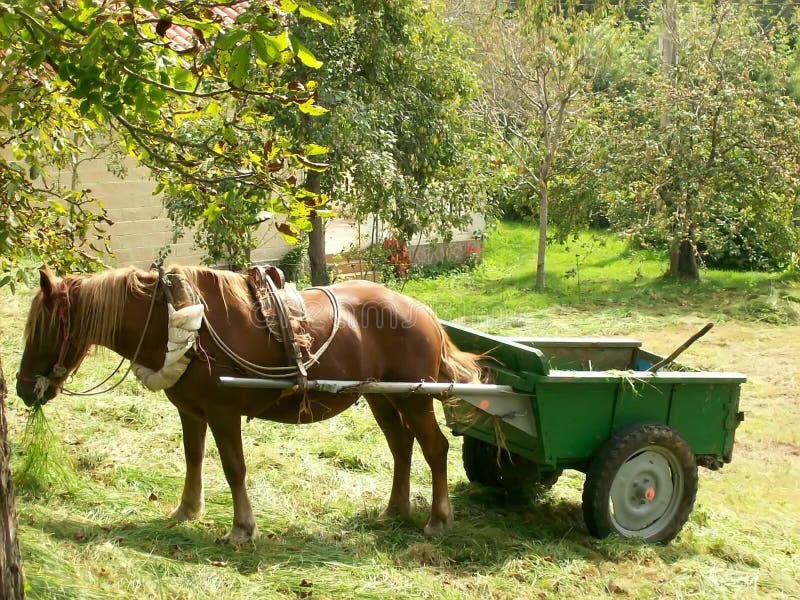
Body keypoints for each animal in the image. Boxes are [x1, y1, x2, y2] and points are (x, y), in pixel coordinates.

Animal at [16, 265, 482, 545]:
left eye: (42, 327)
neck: (180, 322)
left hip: (414, 399)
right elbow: (193, 457)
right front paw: (187, 510)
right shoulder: (191, 411)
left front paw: (241, 528)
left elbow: (233, 467)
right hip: (382, 396)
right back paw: (394, 509)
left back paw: (438, 519)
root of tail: (423, 311)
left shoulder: (224, 413)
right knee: (401, 447)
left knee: (435, 448)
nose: (22, 390)